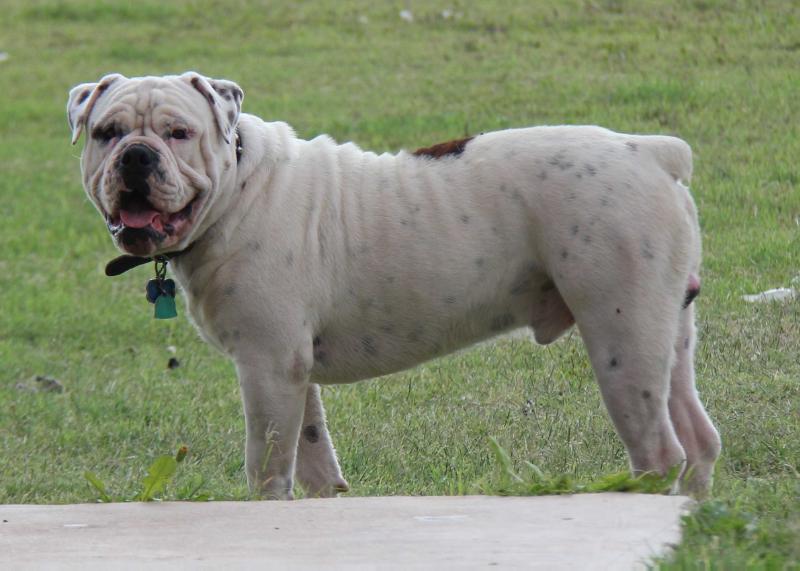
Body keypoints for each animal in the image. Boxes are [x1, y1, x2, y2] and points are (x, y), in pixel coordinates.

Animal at [67, 73, 720, 498]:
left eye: (179, 133)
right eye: (106, 132)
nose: (136, 157)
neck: (237, 187)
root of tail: (651, 152)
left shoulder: (266, 367)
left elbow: (267, 471)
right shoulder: (293, 374)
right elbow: (315, 463)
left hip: (621, 339)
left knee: (661, 452)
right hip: (668, 331)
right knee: (699, 438)